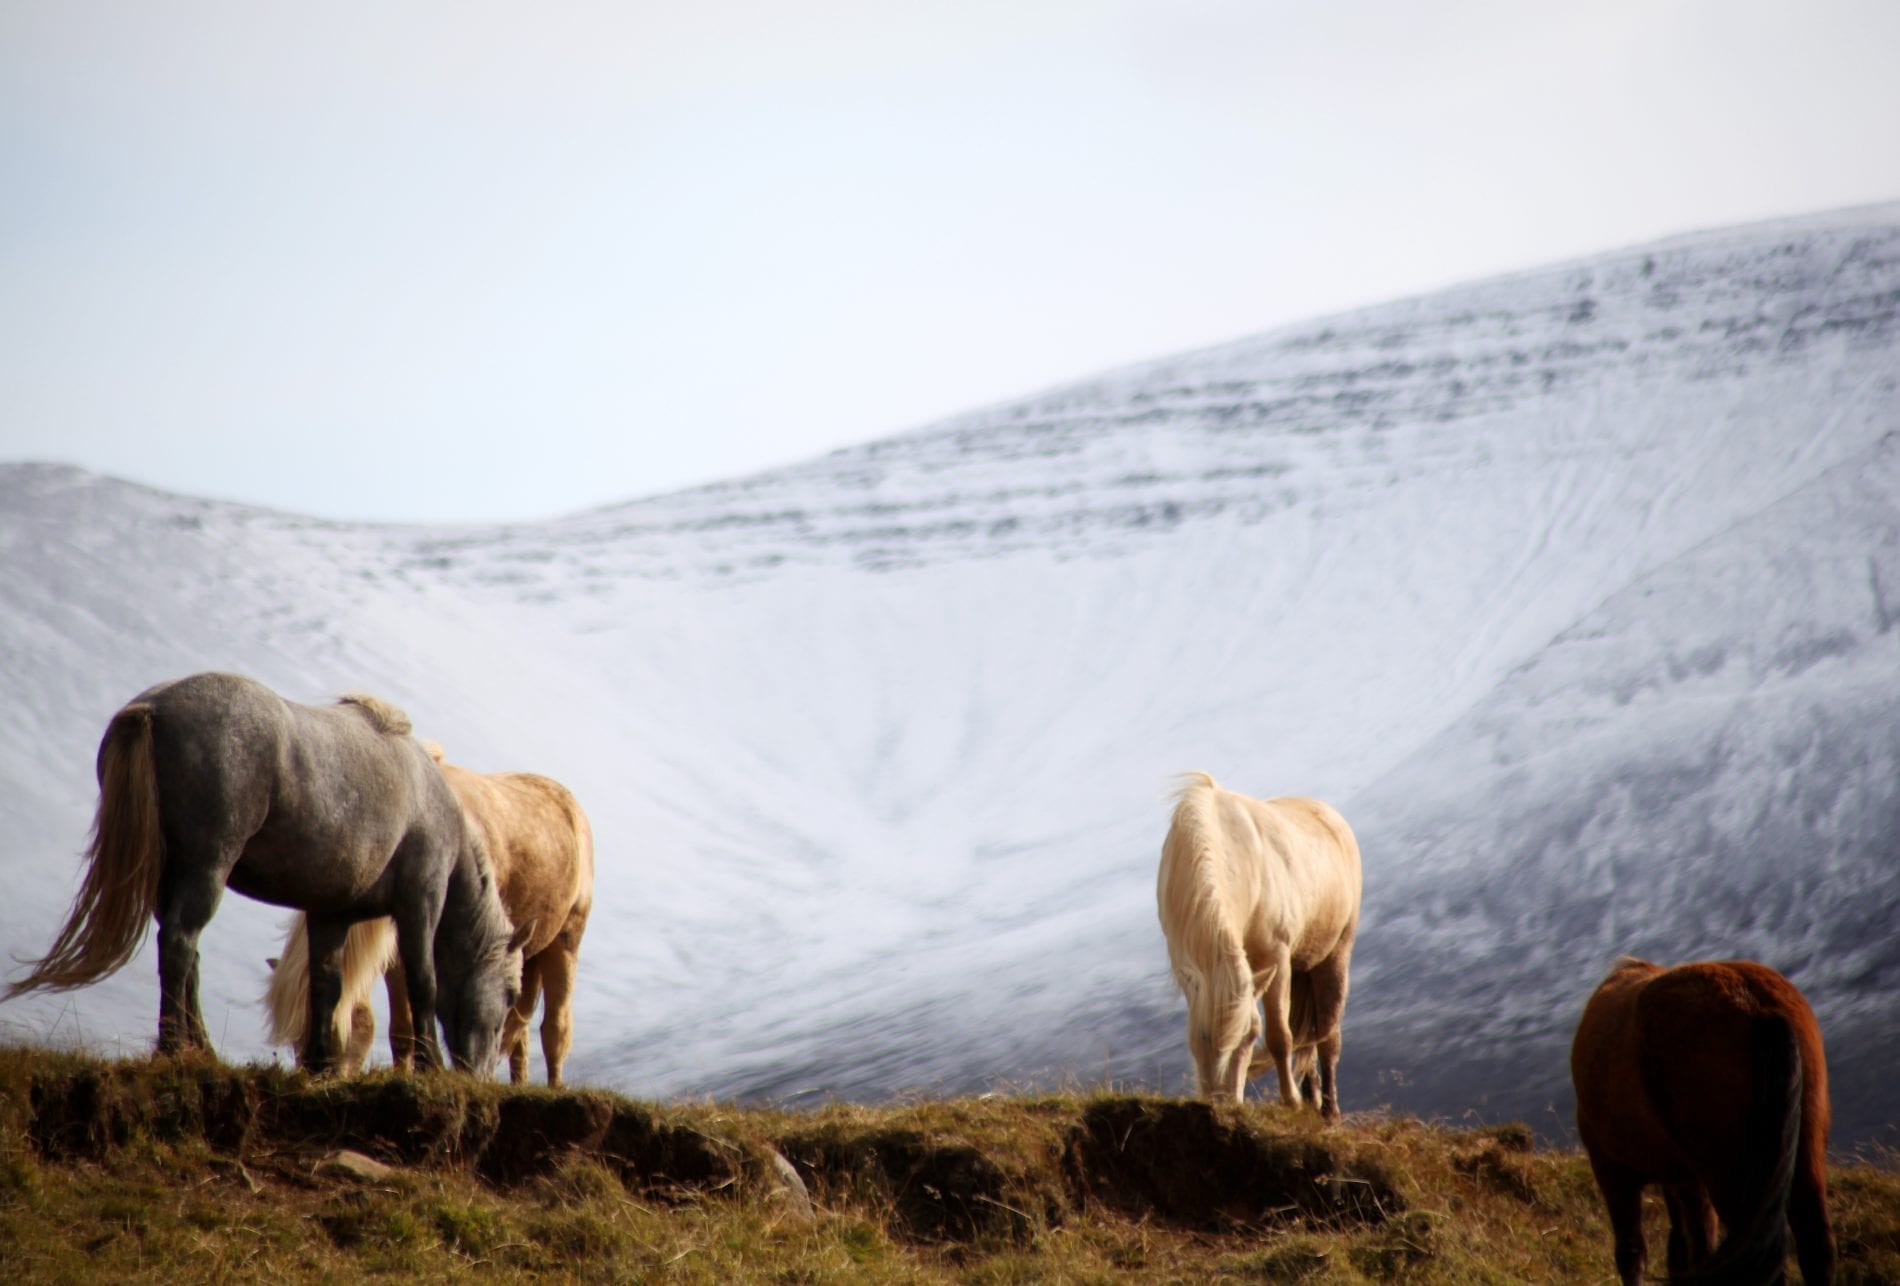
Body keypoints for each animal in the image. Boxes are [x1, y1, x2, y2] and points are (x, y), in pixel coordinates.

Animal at [266, 740, 592, 1086]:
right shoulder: (398, 950)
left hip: (566, 941)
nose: (312, 1078)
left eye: (339, 1029)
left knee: (554, 1029)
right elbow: (402, 1027)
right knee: (519, 1034)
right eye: (294, 1041)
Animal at [1147, 771, 1360, 1116]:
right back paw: (1313, 1100)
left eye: (1249, 1039)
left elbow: (1280, 1036)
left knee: (1328, 1035)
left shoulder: (1277, 959)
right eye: (1202, 1038)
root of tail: (1331, 817)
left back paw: (1328, 1112)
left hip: (1335, 955)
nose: (1224, 1103)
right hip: (1302, 966)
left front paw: (1290, 1102)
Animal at [1565, 957, 1831, 1276]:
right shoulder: (1682, 1177)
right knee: (1814, 1244)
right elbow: (1683, 1248)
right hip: (1801, 1150)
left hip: (1729, 1173)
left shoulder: (1611, 1168)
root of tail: (1757, 1004)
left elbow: (1632, 1253)